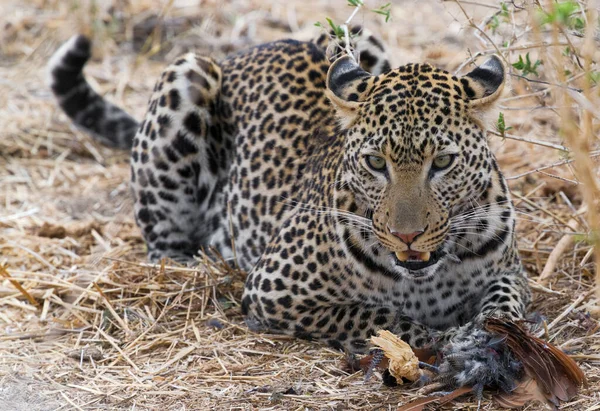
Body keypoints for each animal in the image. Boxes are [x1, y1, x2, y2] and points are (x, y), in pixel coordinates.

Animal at [49, 29, 532, 390]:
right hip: (186, 75)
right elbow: (383, 318)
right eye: (376, 163)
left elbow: (504, 306)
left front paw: (491, 338)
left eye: (443, 162)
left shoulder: (511, 271)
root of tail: (248, 51)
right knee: (161, 240)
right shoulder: (274, 290)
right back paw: (192, 264)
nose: (407, 236)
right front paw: (451, 338)